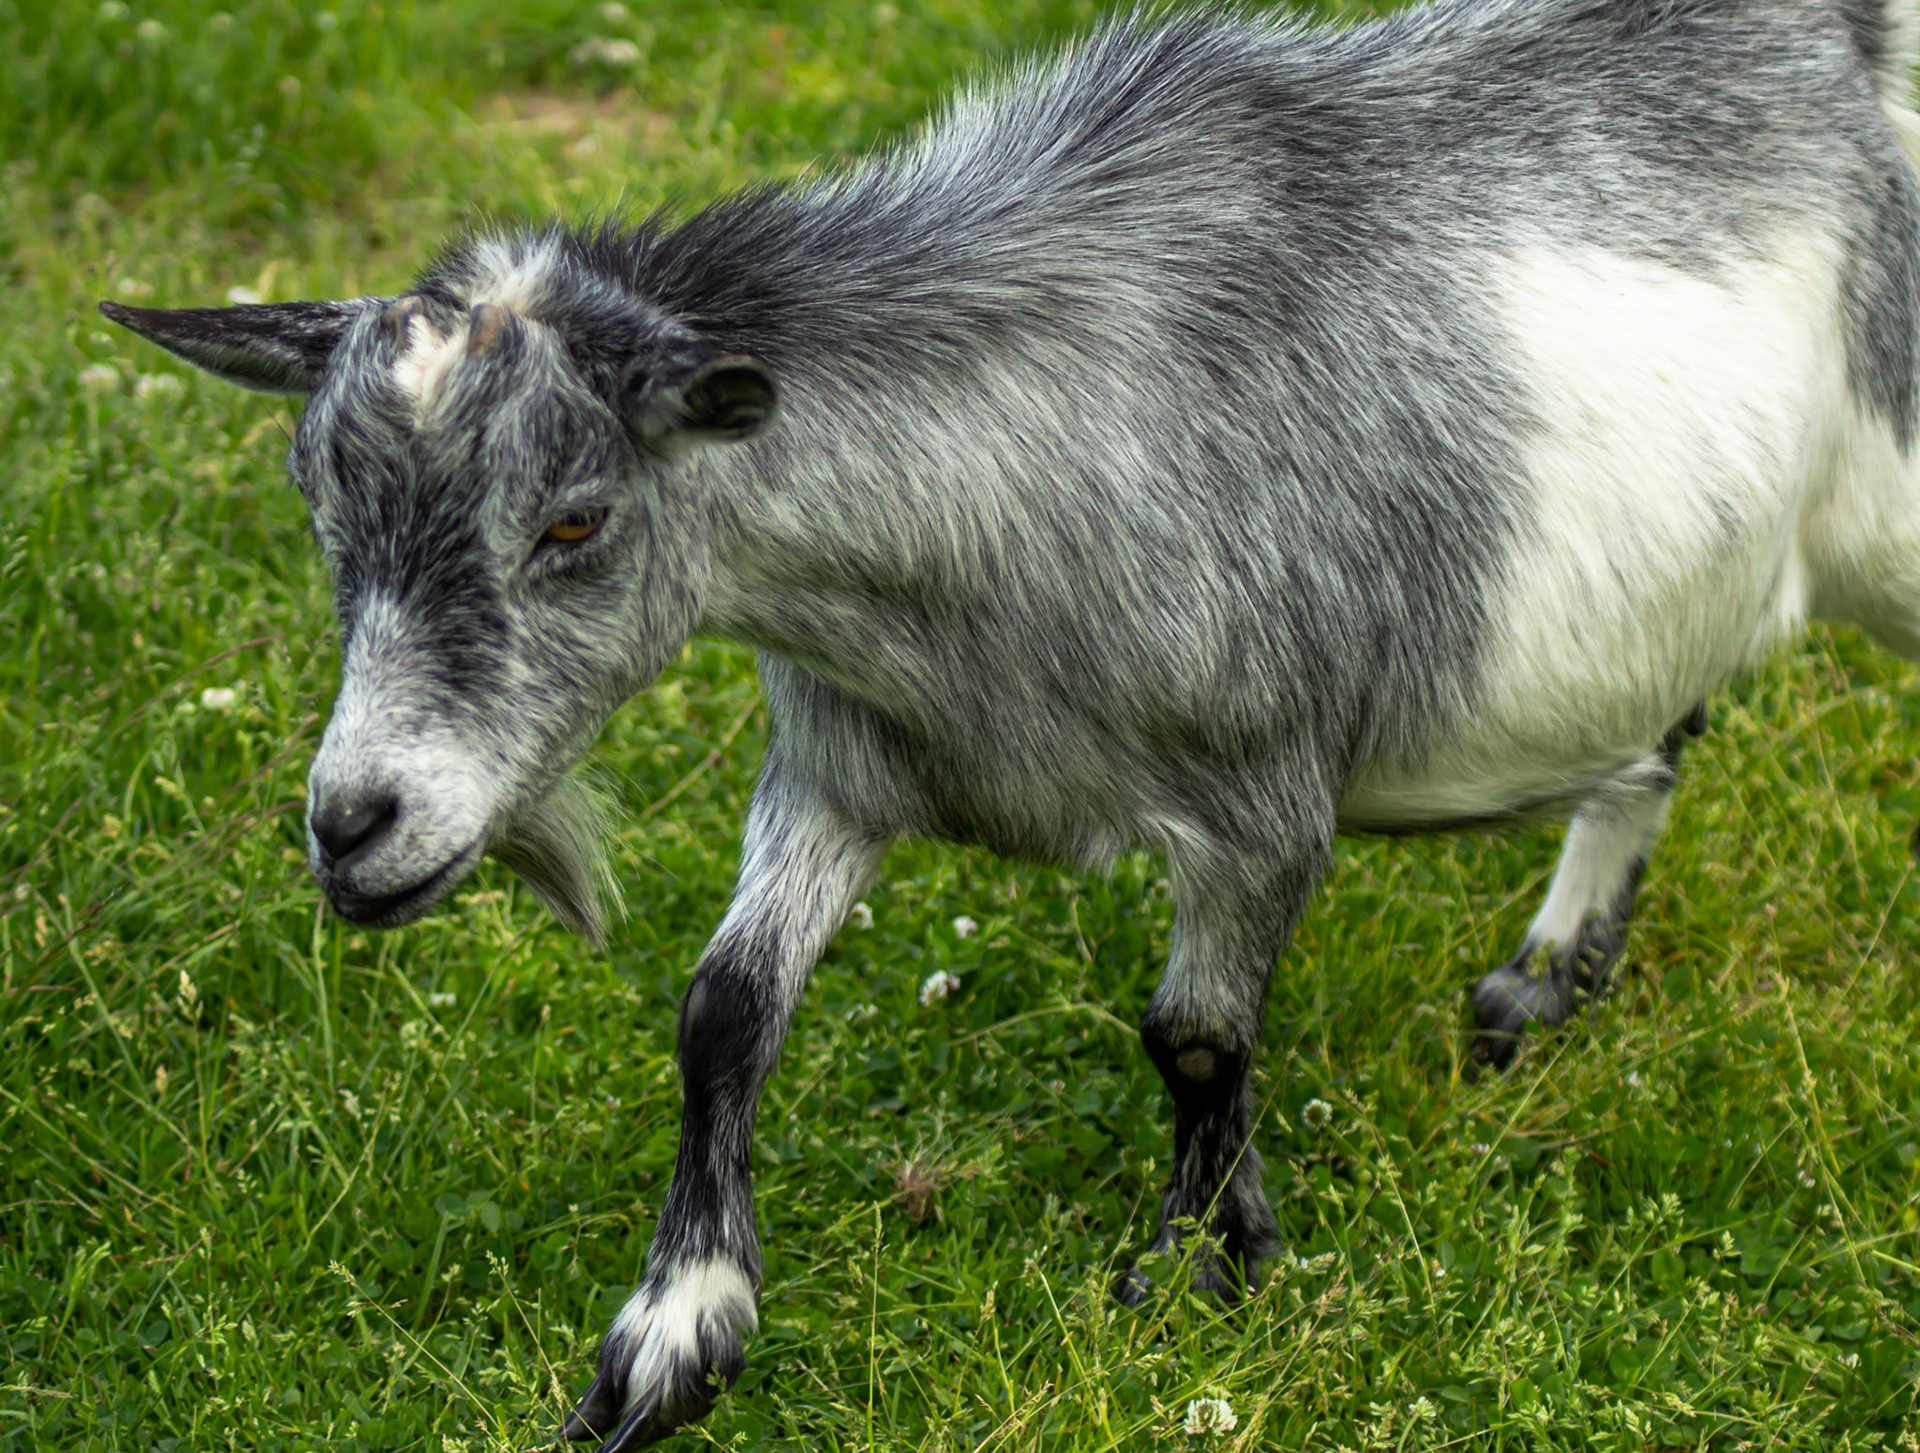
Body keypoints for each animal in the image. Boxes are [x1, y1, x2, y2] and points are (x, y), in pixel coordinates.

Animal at [101, 2, 1920, 1443]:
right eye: (320, 506)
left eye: (573, 520)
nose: (355, 825)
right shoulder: (839, 766)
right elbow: (723, 1010)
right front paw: (674, 1334)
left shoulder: (1266, 801)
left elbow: (1196, 1035)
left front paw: (1200, 1260)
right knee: (1662, 735)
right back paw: (1543, 980)